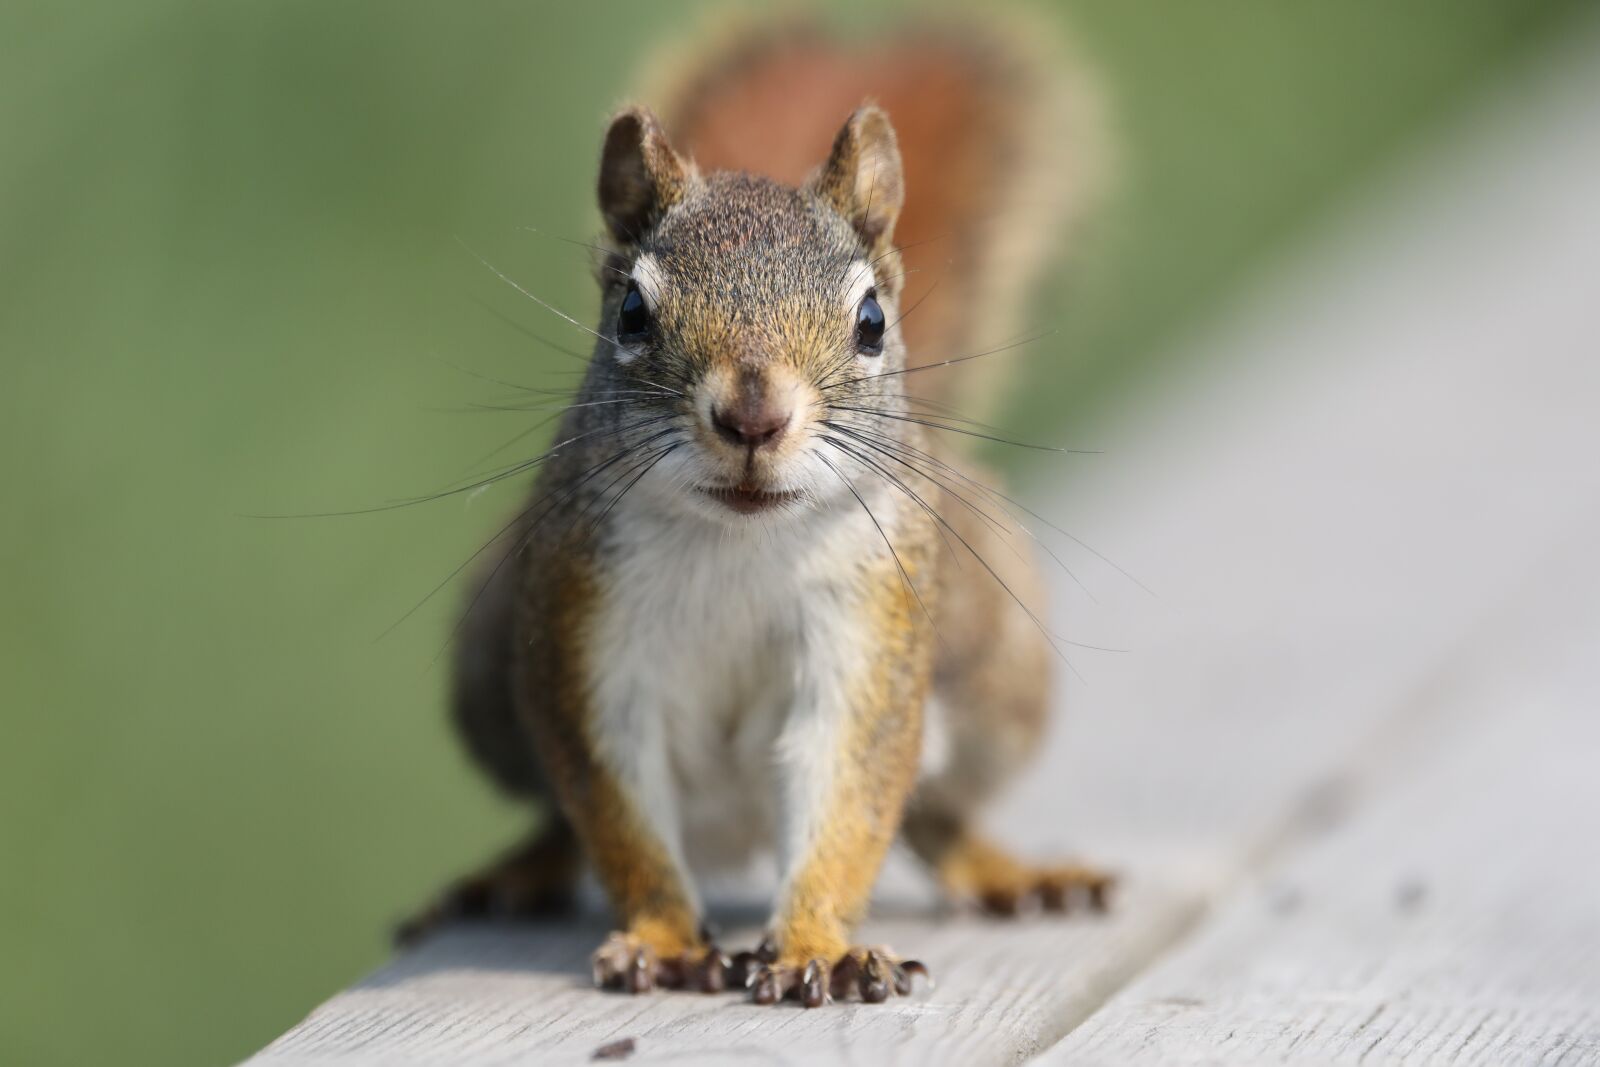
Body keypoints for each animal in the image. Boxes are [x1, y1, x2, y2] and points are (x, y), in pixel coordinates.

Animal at [403, 10, 1112, 1008]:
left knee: (933, 814)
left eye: (871, 321)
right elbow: (615, 810)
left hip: (999, 674)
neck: (739, 542)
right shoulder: (584, 638)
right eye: (630, 312)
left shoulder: (867, 635)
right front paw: (663, 939)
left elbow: (848, 795)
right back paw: (518, 871)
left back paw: (1007, 871)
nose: (753, 417)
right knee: (558, 816)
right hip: (486, 674)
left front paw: (817, 944)